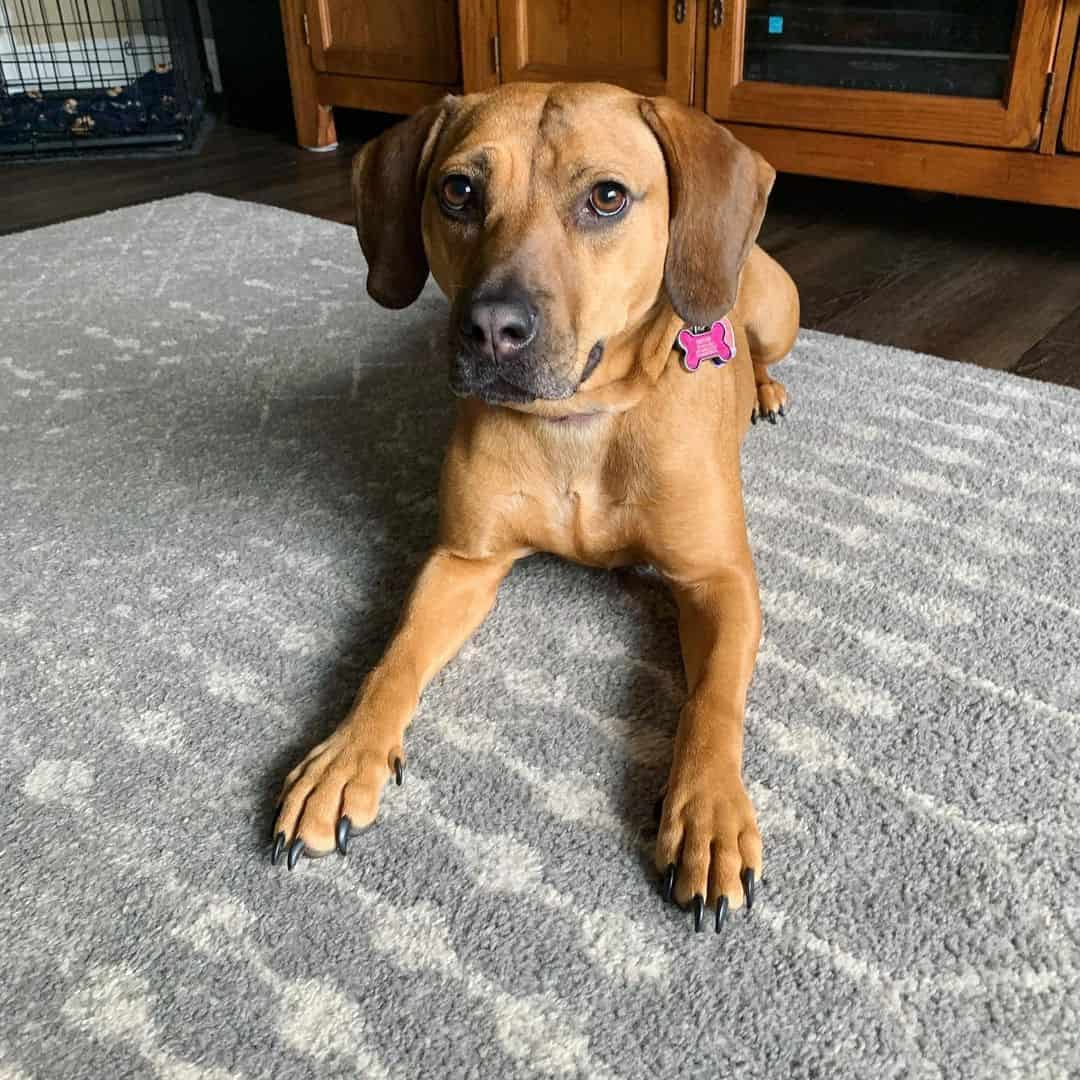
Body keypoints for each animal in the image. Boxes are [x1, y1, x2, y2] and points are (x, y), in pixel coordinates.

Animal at [274, 82, 799, 928]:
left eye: (607, 197)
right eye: (457, 190)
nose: (492, 327)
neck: (578, 423)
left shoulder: (718, 581)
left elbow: (712, 702)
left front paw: (710, 812)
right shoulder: (461, 561)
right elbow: (391, 660)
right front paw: (346, 755)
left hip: (774, 311)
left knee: (761, 351)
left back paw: (765, 388)